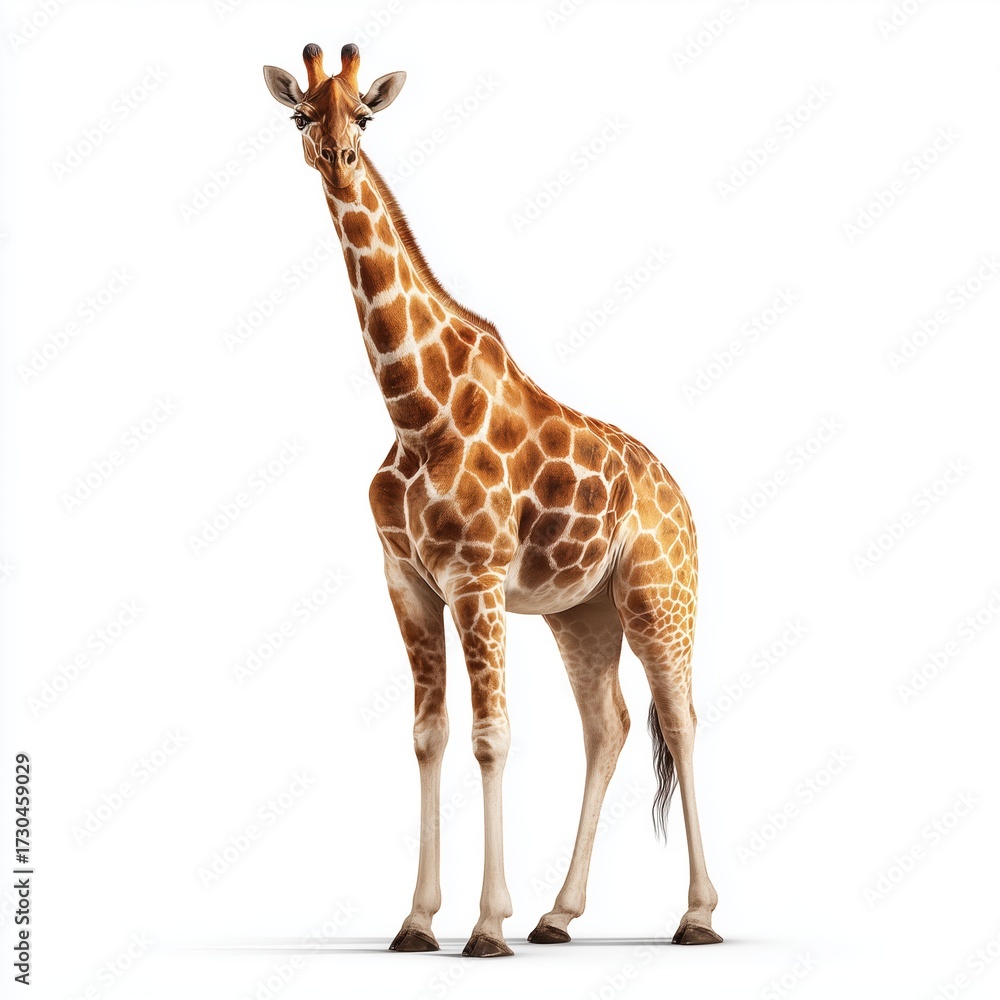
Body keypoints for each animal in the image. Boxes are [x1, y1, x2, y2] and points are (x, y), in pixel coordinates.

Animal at [264, 42, 721, 958]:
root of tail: (681, 495)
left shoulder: (475, 576)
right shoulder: (407, 582)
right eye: (301, 113)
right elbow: (429, 736)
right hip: (581, 613)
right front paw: (417, 920)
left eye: (364, 116)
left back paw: (696, 916)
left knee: (682, 717)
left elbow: (491, 738)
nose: (338, 158)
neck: (414, 409)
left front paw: (484, 925)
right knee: (610, 725)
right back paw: (559, 914)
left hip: (659, 593)